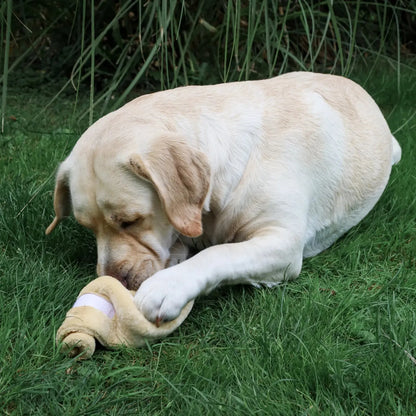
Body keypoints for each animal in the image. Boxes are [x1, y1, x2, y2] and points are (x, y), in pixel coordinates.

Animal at [47, 71, 402, 324]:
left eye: (130, 221)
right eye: (88, 228)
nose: (112, 280)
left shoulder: (283, 242)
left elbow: (218, 254)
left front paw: (167, 286)